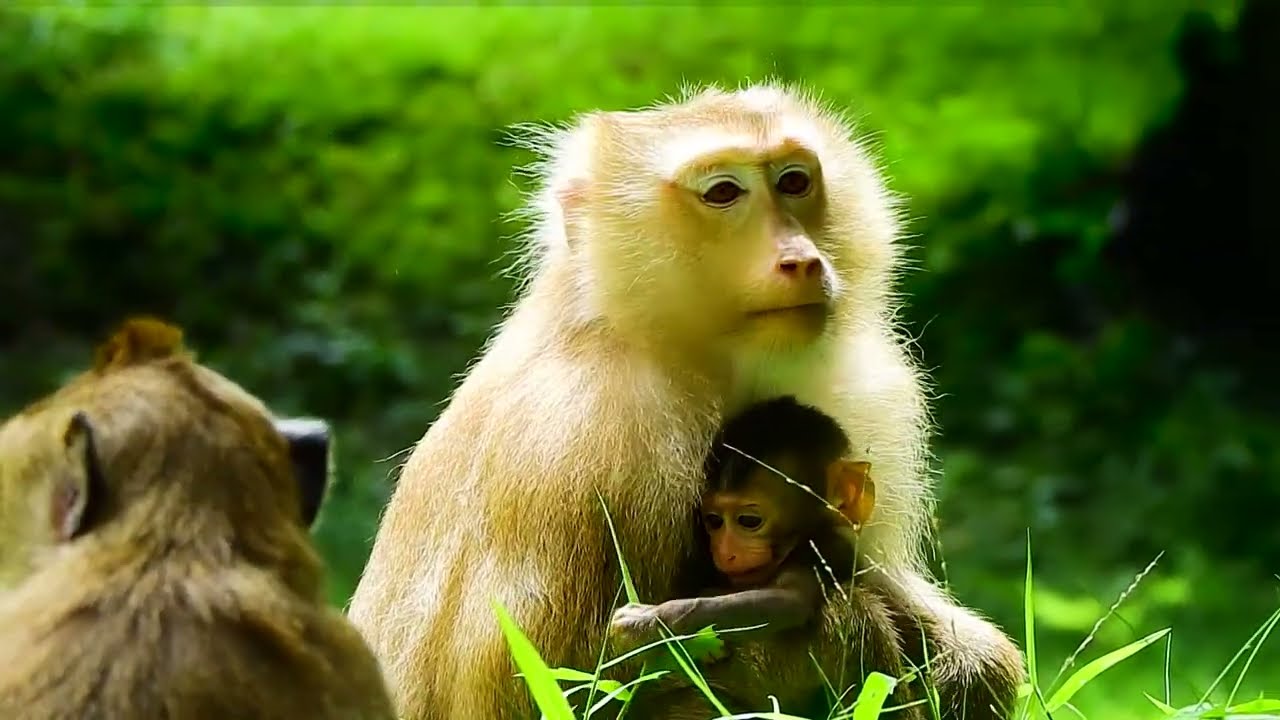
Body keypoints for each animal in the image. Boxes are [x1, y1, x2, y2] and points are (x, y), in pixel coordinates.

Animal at [347, 83, 1026, 720]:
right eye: (723, 193)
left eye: (794, 181)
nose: (801, 259)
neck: (682, 350)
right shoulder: (584, 443)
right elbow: (542, 691)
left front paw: (967, 660)